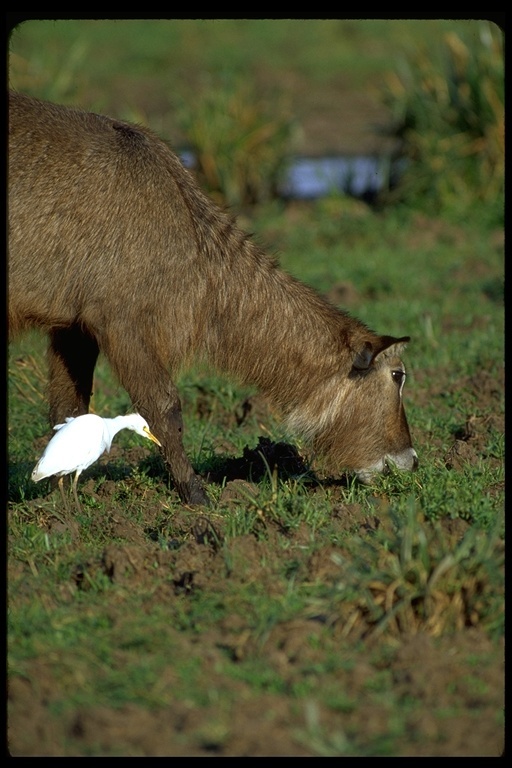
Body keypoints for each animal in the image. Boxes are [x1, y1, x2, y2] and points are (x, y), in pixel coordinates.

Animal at [8, 90, 418, 508]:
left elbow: (68, 412)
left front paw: (62, 501)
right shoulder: (122, 323)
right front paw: (195, 494)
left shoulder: (72, 327)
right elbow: (164, 409)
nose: (412, 459)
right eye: (398, 375)